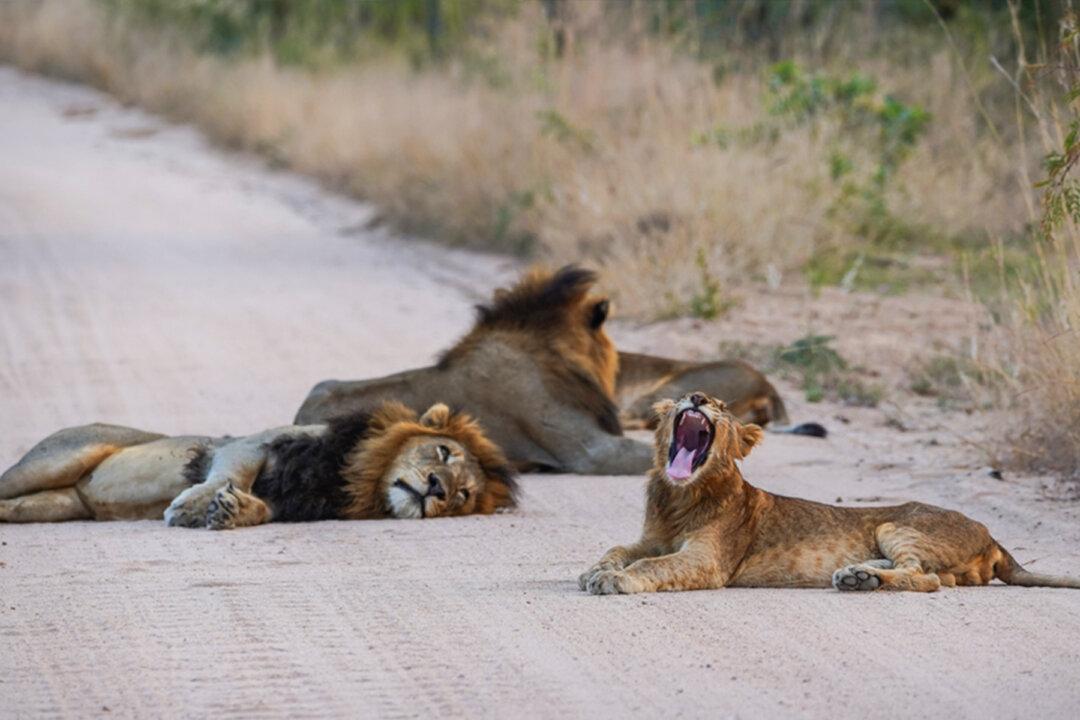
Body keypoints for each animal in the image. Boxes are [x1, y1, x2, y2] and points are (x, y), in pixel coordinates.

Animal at [579, 391, 1080, 594]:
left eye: (721, 406)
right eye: (686, 396)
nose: (698, 399)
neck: (679, 497)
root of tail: (993, 536)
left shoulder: (708, 560)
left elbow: (653, 565)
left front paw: (615, 580)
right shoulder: (651, 537)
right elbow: (619, 548)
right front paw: (595, 570)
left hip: (896, 523)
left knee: (927, 577)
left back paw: (862, 580)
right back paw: (860, 573)